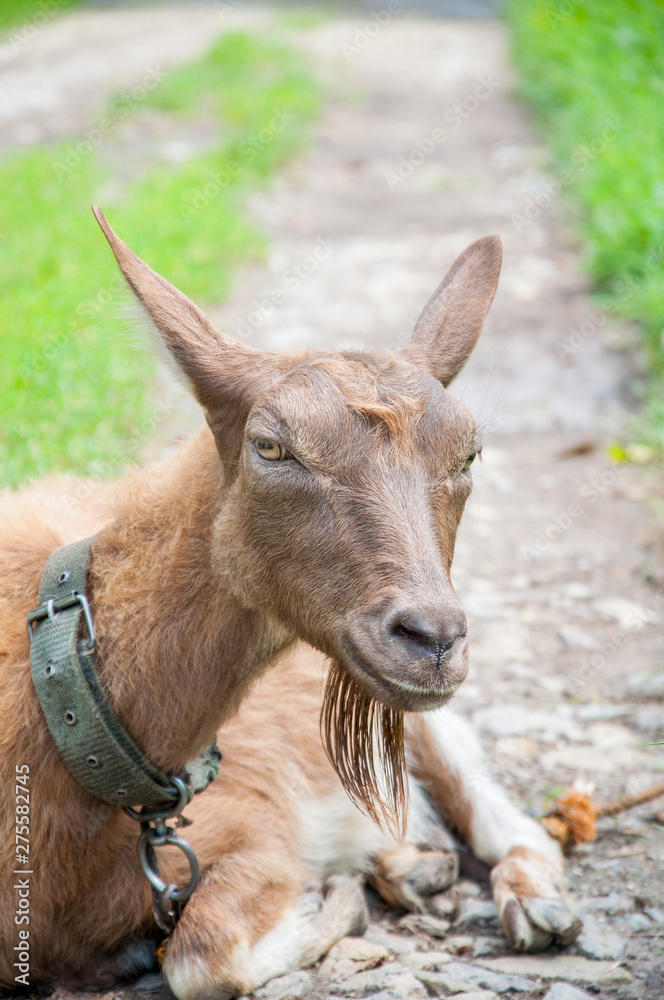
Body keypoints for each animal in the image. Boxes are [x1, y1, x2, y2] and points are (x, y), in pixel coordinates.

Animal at [0, 215, 580, 996]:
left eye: (469, 456)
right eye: (272, 446)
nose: (431, 638)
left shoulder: (255, 828)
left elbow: (200, 959)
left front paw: (334, 904)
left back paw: (533, 902)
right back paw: (410, 868)